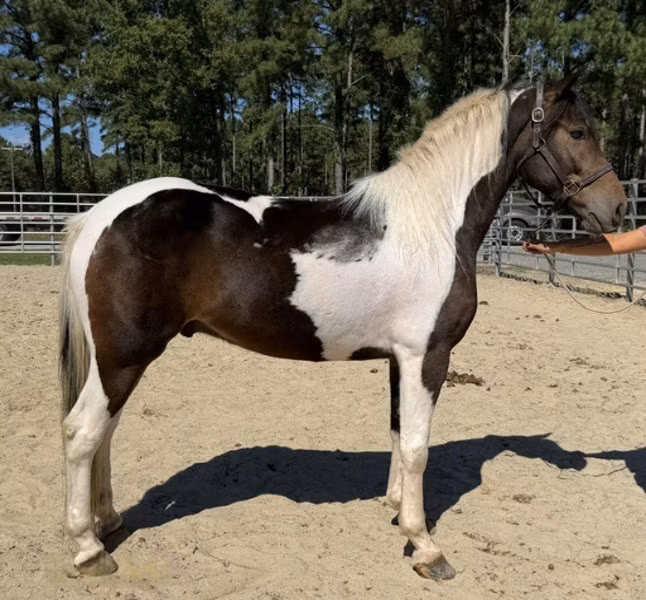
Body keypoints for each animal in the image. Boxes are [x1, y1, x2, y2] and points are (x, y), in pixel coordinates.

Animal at [59, 73, 626, 580]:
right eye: (578, 132)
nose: (618, 207)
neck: (434, 225)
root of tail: (98, 216)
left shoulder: (401, 359)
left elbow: (398, 432)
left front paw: (396, 509)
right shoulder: (428, 355)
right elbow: (417, 448)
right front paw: (425, 547)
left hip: (119, 360)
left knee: (105, 432)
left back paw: (109, 521)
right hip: (124, 355)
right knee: (83, 432)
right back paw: (88, 549)